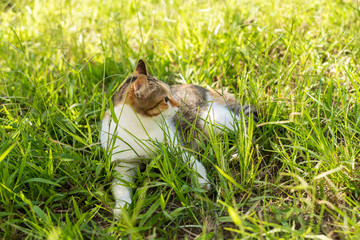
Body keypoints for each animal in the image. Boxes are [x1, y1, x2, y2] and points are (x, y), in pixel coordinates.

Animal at [100, 59, 256, 217]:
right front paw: (122, 208)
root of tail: (205, 89)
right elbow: (119, 186)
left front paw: (201, 182)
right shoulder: (123, 164)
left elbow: (193, 163)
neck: (139, 128)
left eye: (171, 93)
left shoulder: (174, 145)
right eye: (165, 99)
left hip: (212, 119)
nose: (179, 104)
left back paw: (238, 152)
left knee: (244, 125)